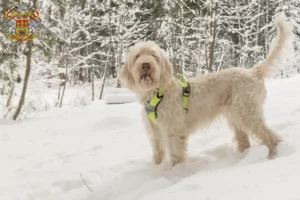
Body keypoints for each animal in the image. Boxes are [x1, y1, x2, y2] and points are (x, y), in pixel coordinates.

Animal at [119, 13, 292, 167]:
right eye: (137, 56)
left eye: (154, 55)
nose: (146, 65)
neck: (156, 93)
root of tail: (253, 72)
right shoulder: (155, 132)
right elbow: (158, 152)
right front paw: (156, 168)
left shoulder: (173, 131)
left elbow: (175, 154)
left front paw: (175, 173)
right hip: (236, 115)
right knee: (244, 139)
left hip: (248, 112)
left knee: (270, 135)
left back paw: (273, 154)